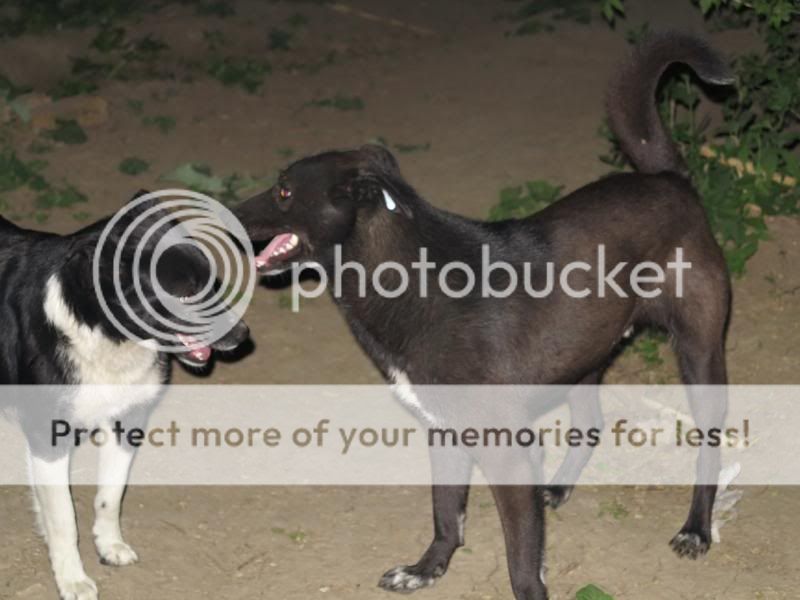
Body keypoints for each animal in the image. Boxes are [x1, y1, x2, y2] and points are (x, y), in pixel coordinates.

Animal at [0, 193, 248, 600]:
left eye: (213, 283)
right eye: (185, 291)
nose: (242, 336)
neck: (103, 332)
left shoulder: (127, 421)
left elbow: (110, 495)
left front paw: (108, 544)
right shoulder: (48, 435)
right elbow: (64, 518)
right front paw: (71, 577)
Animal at [234, 31, 736, 600]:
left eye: (283, 191)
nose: (229, 210)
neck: (412, 279)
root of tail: (669, 179)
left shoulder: (506, 451)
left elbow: (522, 565)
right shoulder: (443, 429)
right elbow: (446, 514)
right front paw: (427, 568)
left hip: (699, 351)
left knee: (708, 442)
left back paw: (696, 528)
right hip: (584, 353)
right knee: (589, 423)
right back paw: (559, 486)